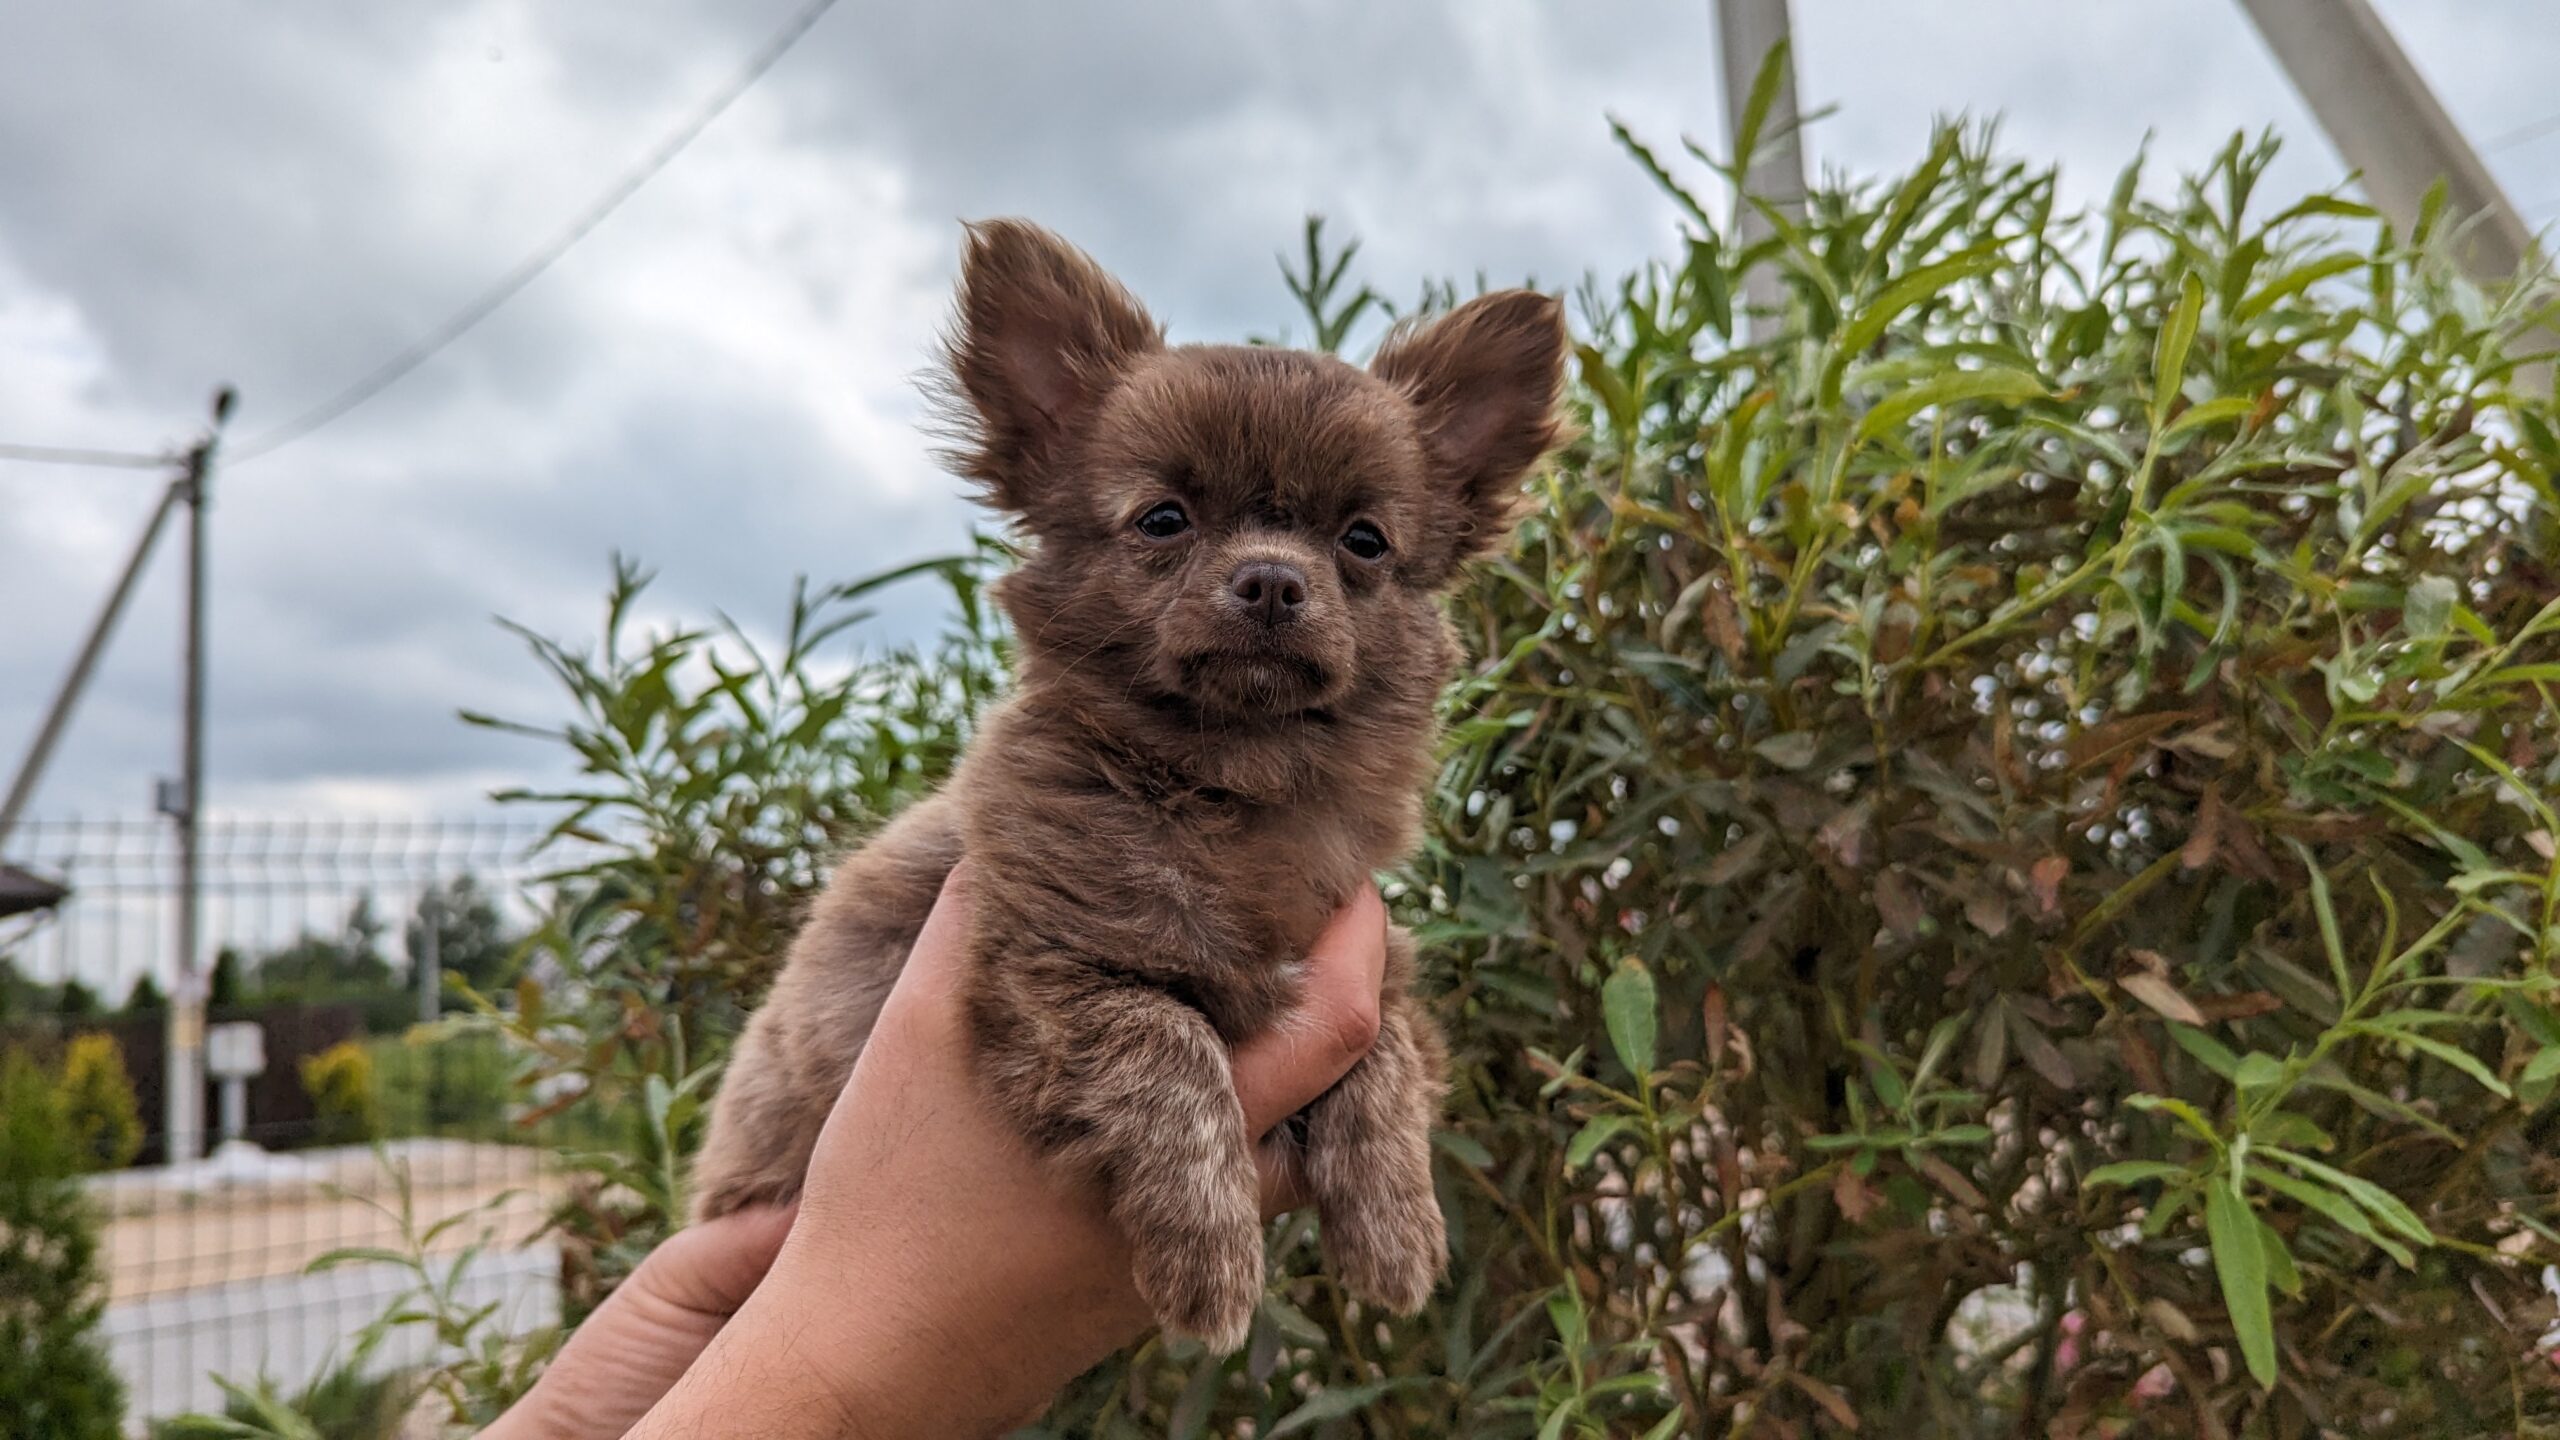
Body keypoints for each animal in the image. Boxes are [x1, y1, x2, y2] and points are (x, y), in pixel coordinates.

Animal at [691, 215, 1556, 1342]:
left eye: (1363, 541)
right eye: (1162, 521)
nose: (1272, 578)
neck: (1227, 786)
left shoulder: (1376, 968)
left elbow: (1389, 1063)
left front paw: (1396, 1226)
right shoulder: (1053, 970)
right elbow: (1171, 1047)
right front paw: (1211, 1259)